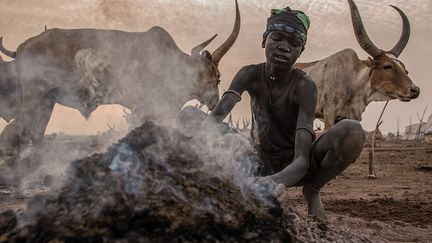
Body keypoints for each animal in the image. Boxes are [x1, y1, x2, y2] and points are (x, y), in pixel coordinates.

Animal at [0, 0, 240, 162]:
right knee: (23, 131)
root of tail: (23, 46)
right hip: (34, 97)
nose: (215, 101)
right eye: (218, 77)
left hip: (46, 101)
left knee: (37, 133)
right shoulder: (144, 108)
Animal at [294, 0, 418, 129]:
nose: (415, 90)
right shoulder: (329, 114)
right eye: (387, 66)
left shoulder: (352, 117)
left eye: (405, 69)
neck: (353, 80)